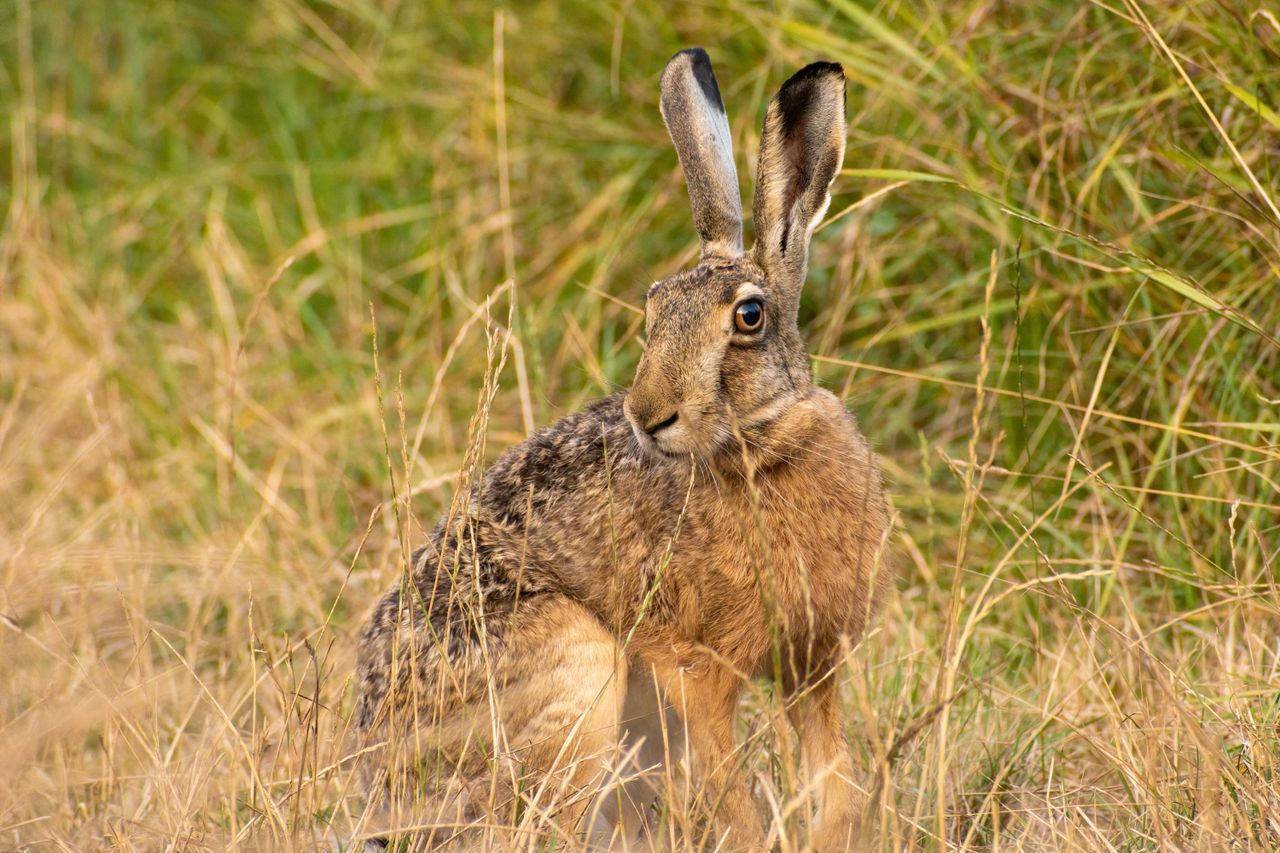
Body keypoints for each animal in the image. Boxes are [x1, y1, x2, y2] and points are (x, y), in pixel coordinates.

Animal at [354, 48, 893, 851]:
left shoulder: (813, 663)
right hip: (582, 677)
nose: (649, 416)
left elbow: (838, 788)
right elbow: (732, 797)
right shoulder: (693, 666)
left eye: (749, 316)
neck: (761, 448)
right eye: (653, 306)